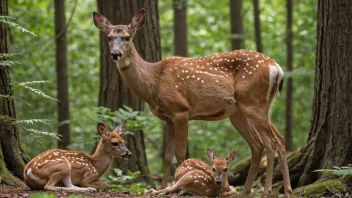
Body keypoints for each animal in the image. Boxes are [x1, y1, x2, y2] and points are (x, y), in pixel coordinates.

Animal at [93, 8, 292, 197]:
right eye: (109, 37)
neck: (153, 81)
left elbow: (180, 153)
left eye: (127, 37)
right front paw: (162, 187)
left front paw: (177, 185)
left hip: (254, 103)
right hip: (241, 112)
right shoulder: (167, 118)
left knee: (271, 142)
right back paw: (257, 191)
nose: (115, 54)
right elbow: (167, 156)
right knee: (264, 143)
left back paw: (270, 191)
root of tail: (277, 68)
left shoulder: (180, 110)